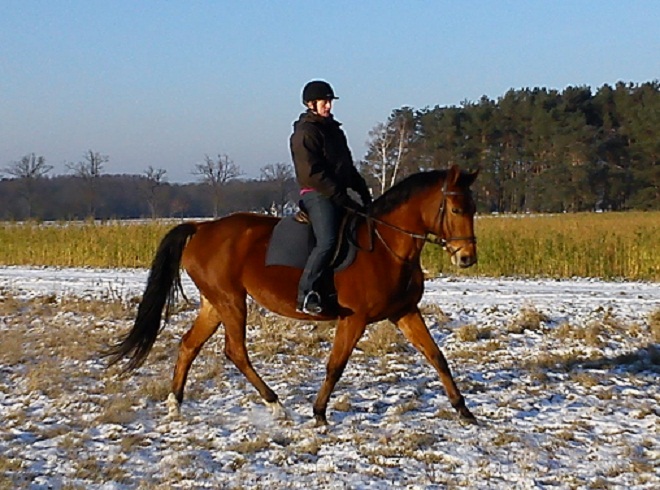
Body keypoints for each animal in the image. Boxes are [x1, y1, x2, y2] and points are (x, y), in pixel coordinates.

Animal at [107, 164, 480, 424]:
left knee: (189, 345)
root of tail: (202, 228)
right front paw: (318, 414)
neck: (386, 248)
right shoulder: (354, 319)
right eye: (456, 210)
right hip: (231, 301)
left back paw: (175, 405)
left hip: (214, 303)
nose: (467, 258)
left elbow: (437, 357)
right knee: (235, 351)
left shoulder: (404, 312)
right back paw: (275, 405)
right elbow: (335, 366)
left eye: (473, 208)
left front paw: (464, 411)